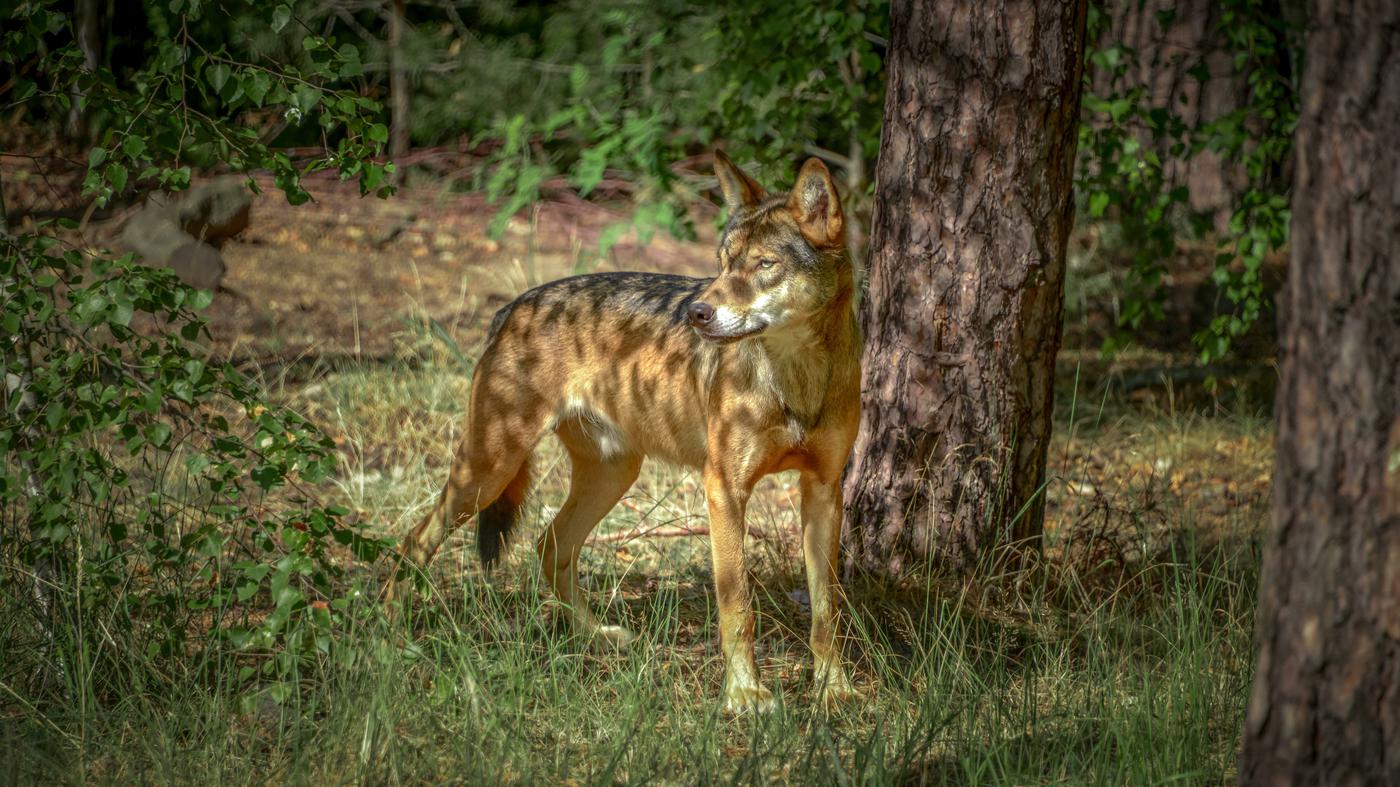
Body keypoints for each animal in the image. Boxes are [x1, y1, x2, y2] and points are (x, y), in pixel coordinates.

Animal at [389, 148, 856, 711]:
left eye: (765, 264)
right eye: (723, 263)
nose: (697, 312)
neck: (796, 381)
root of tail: (511, 306)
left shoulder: (824, 491)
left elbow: (826, 613)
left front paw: (835, 689)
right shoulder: (724, 489)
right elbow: (736, 606)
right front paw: (744, 696)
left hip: (612, 475)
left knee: (549, 545)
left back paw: (596, 636)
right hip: (487, 471)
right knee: (413, 543)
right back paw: (385, 632)